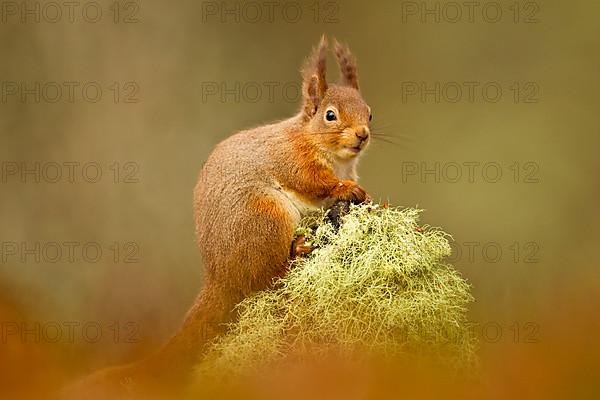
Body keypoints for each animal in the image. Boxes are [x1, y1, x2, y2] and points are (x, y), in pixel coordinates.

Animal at [64, 36, 370, 396]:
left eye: (369, 111)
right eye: (330, 115)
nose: (363, 134)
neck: (319, 144)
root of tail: (219, 277)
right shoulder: (293, 160)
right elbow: (314, 182)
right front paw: (346, 189)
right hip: (265, 217)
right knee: (267, 276)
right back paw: (297, 253)